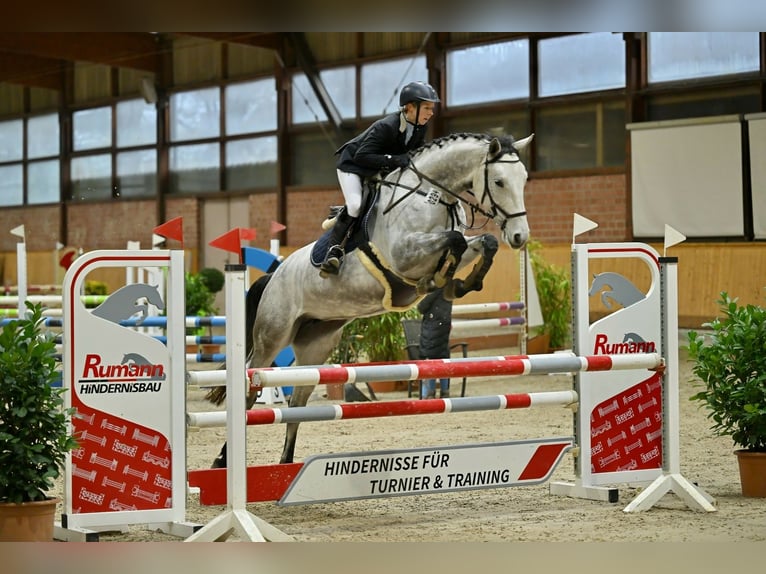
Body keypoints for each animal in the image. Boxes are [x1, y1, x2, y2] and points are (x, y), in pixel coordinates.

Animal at [207, 132, 536, 468]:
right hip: (272, 335)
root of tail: (274, 275)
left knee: (297, 401)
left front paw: (460, 283)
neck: (431, 196)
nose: (520, 237)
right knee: (250, 388)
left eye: (524, 179)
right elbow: (454, 241)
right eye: (498, 181)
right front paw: (441, 282)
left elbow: (484, 242)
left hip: (315, 344)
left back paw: (285, 465)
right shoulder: (405, 256)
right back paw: (222, 460)